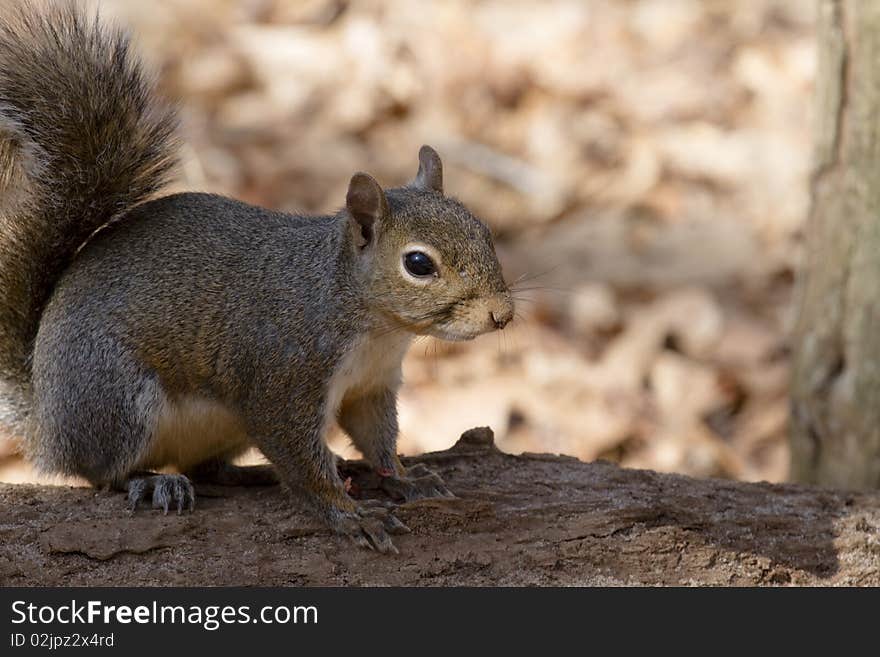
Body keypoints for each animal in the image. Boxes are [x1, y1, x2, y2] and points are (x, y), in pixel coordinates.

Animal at [0, 2, 516, 552]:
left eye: (483, 229)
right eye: (419, 264)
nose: (502, 315)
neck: (370, 322)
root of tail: (46, 423)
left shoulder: (371, 386)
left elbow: (376, 438)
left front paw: (403, 477)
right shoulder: (282, 377)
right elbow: (301, 460)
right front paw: (348, 514)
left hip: (220, 426)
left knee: (207, 469)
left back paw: (252, 474)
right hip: (116, 398)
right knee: (102, 473)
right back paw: (152, 481)